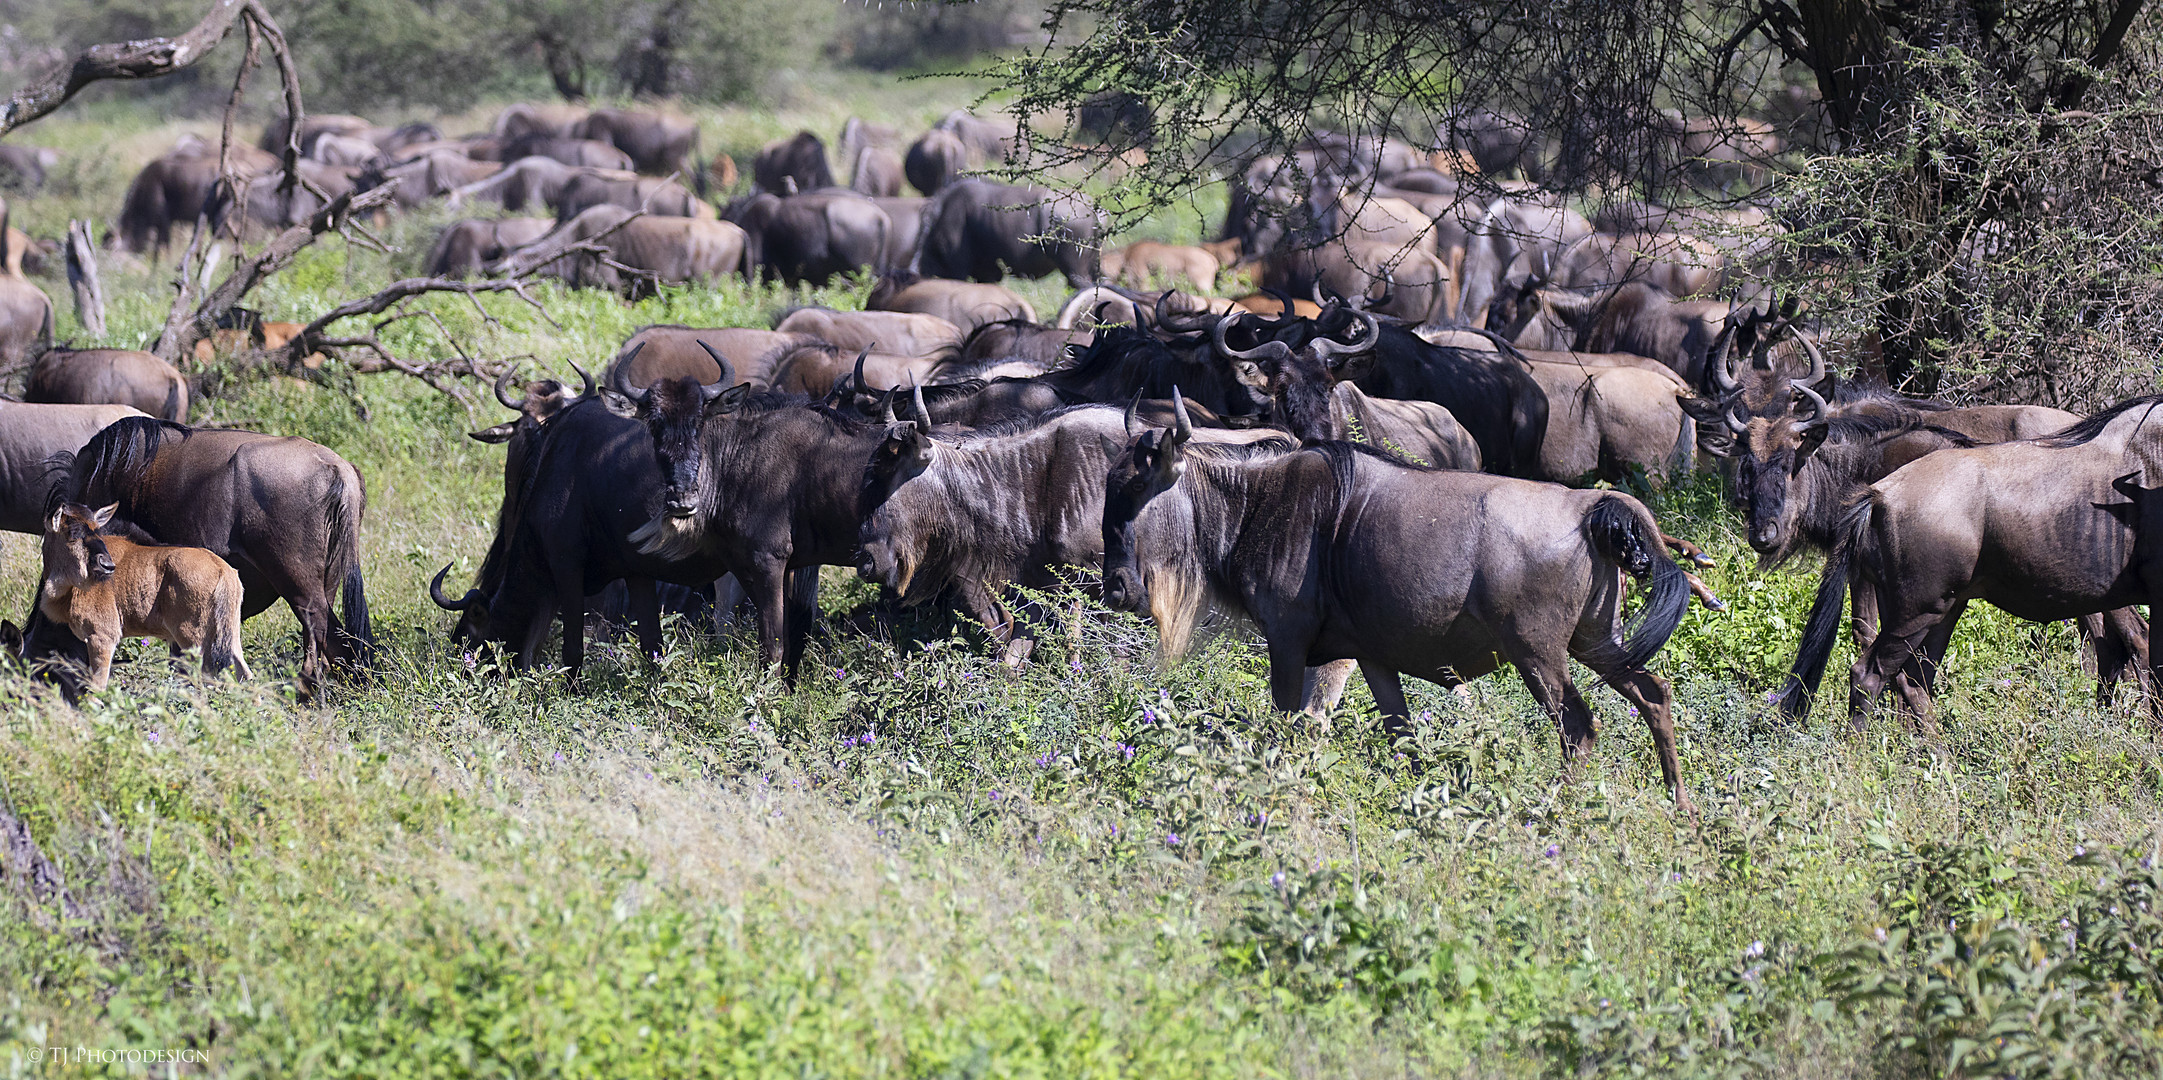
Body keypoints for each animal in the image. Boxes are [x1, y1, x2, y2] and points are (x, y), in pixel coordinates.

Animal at [39, 504, 247, 692]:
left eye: (97, 531)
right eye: (73, 532)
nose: (107, 566)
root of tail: (222, 568)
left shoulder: (102, 637)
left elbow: (96, 688)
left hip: (194, 641)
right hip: (230, 637)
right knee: (244, 674)